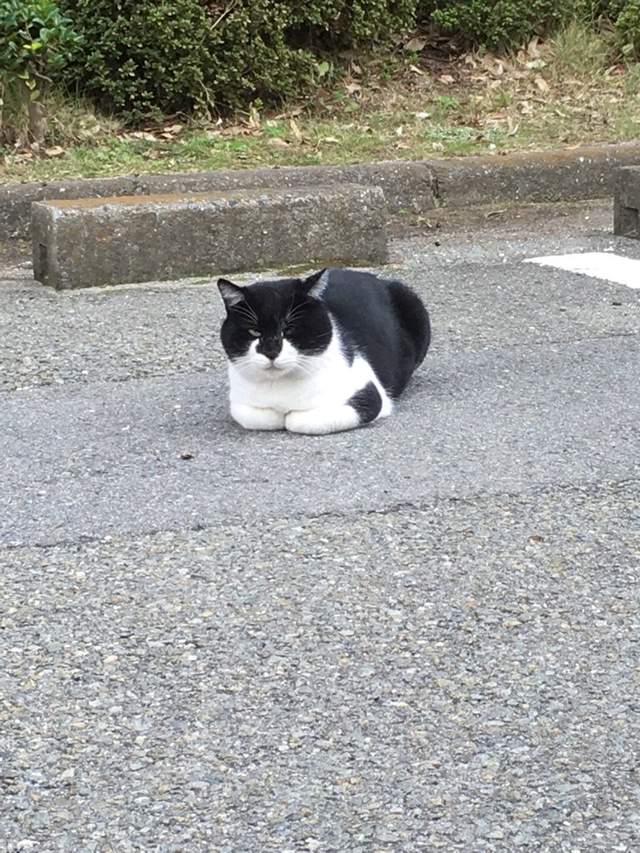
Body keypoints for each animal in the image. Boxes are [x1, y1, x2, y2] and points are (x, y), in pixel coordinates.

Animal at [218, 266, 432, 436]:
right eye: (254, 331)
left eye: (289, 329)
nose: (271, 351)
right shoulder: (239, 402)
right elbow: (257, 416)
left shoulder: (368, 395)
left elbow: (297, 420)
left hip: (413, 302)